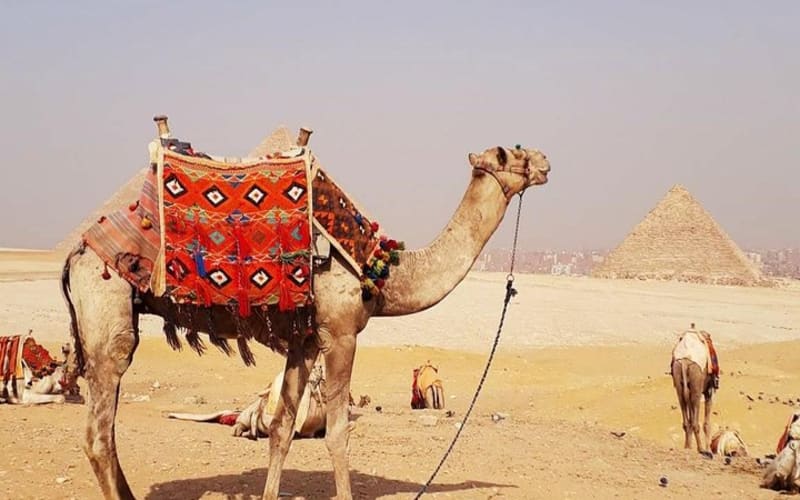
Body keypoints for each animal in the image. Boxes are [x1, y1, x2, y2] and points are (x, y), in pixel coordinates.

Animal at [61, 124, 550, 499]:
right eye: (510, 152)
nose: (545, 161)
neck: (381, 272)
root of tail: (76, 254)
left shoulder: (304, 341)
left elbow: (281, 429)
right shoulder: (340, 334)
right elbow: (337, 432)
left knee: (107, 430)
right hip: (107, 309)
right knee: (97, 434)